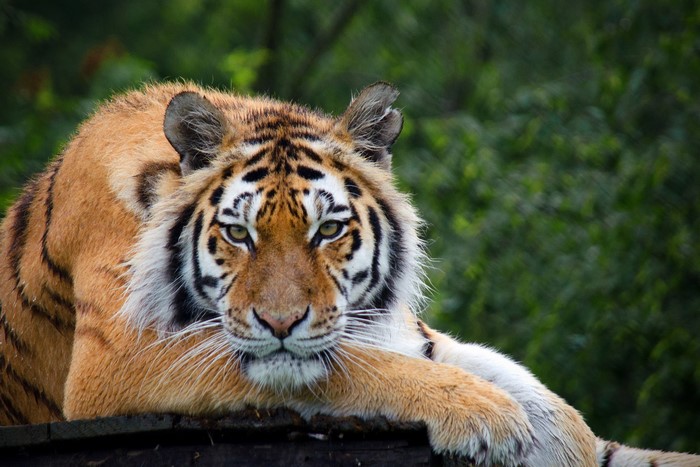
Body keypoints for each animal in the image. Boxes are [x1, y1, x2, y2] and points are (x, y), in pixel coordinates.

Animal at [0, 82, 698, 466]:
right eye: (238, 233)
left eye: (328, 230)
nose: (280, 322)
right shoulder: (118, 363)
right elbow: (363, 370)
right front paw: (489, 419)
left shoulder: (403, 330)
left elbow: (535, 393)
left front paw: (566, 443)